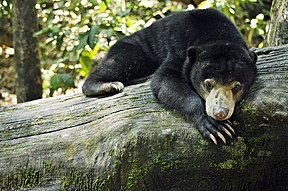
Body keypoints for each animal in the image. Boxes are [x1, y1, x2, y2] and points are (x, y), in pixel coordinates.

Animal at [82, 8, 258, 144]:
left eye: (237, 87)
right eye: (208, 84)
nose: (220, 113)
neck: (217, 34)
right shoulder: (180, 49)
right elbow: (164, 79)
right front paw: (215, 127)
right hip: (132, 48)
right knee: (122, 61)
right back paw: (107, 85)